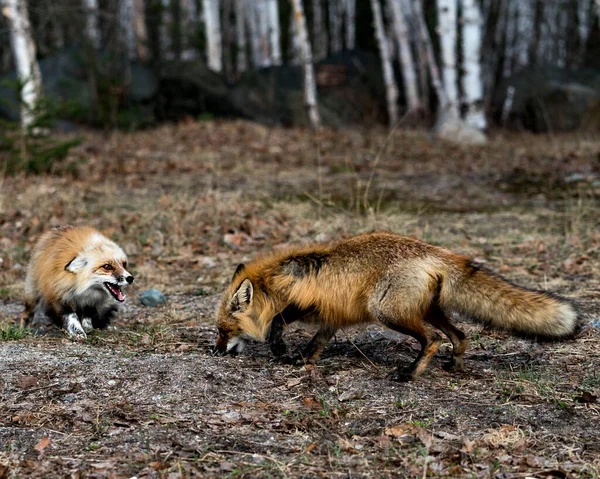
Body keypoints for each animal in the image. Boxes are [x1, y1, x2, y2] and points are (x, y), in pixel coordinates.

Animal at [213, 232, 580, 382]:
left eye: (223, 330)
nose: (215, 352)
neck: (276, 279)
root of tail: (438, 251)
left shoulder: (307, 304)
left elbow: (278, 321)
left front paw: (279, 349)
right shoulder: (331, 316)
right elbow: (316, 344)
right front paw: (300, 360)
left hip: (388, 312)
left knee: (433, 339)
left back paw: (409, 374)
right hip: (427, 310)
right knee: (459, 335)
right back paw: (454, 366)